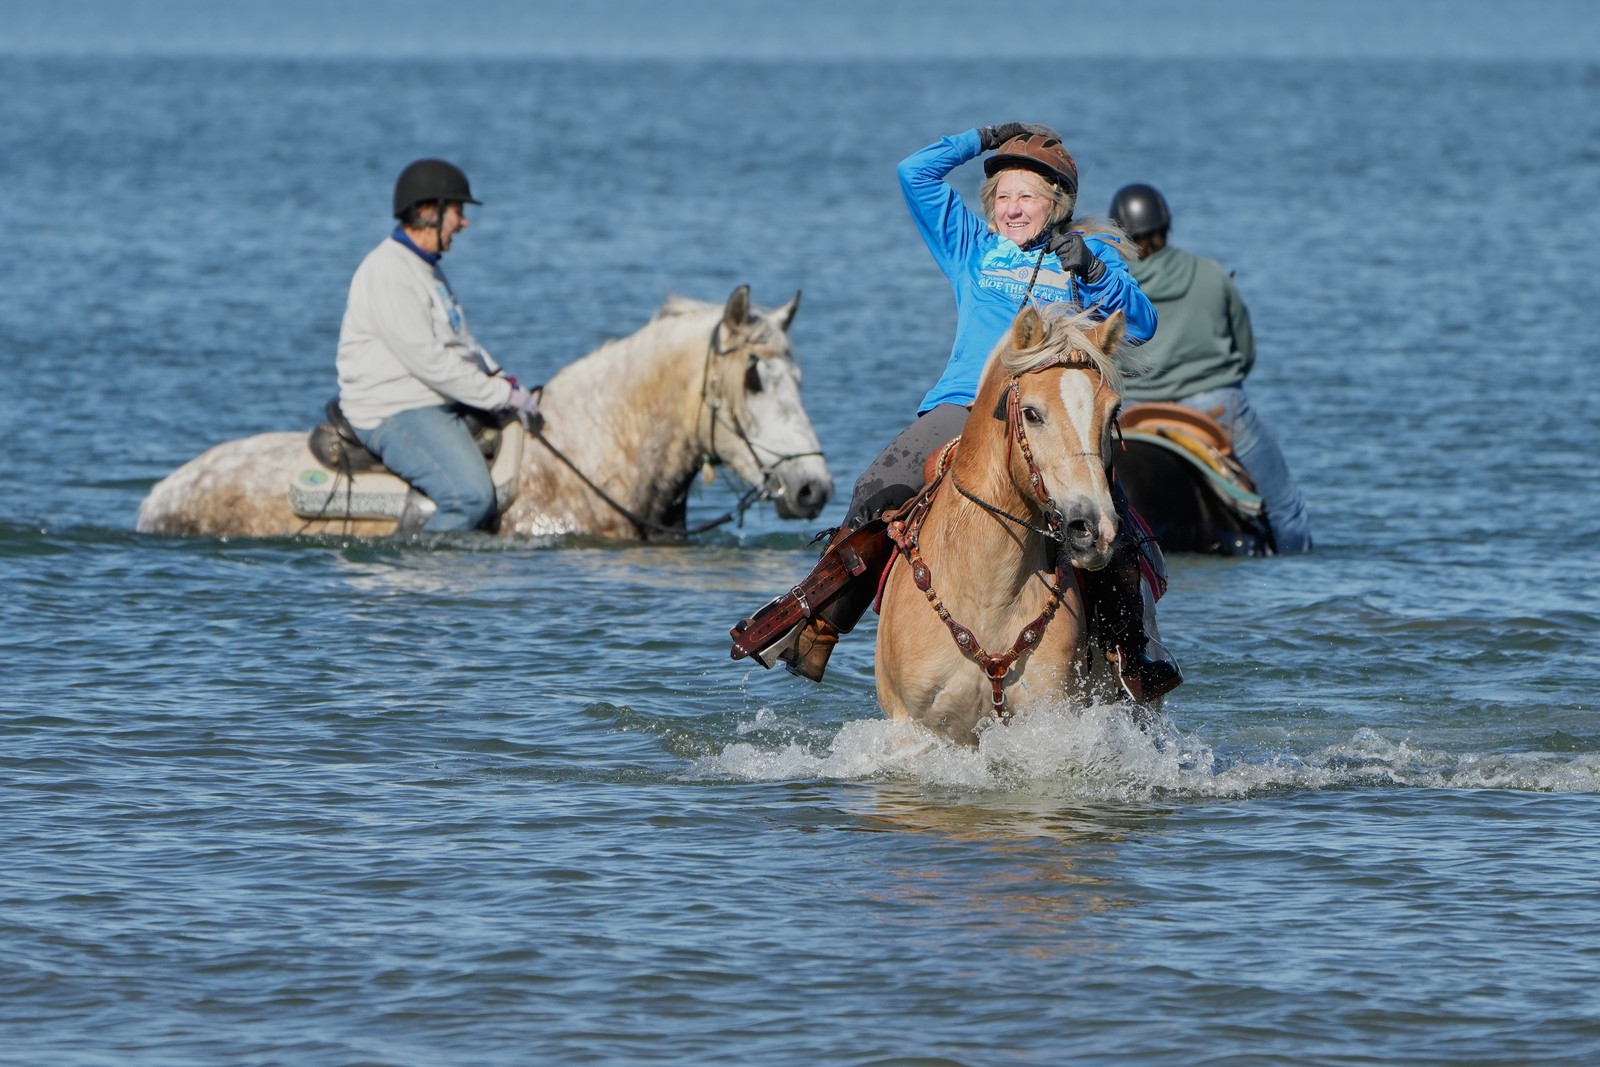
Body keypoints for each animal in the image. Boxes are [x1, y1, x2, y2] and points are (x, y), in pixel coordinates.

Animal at [874, 305, 1131, 745]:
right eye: (1031, 413)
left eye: (1112, 412)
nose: (1094, 529)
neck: (985, 592)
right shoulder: (917, 728)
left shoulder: (1053, 715)